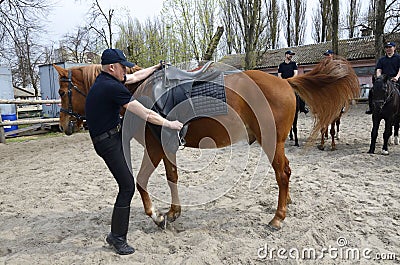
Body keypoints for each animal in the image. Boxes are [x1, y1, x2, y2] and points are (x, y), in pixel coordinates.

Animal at [54, 57, 360, 229]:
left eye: (62, 91)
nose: (64, 124)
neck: (138, 91)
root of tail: (285, 82)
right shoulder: (162, 147)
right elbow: (162, 178)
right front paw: (168, 213)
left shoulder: (157, 146)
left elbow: (151, 179)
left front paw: (161, 215)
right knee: (285, 173)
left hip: (272, 142)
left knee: (282, 173)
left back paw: (278, 217)